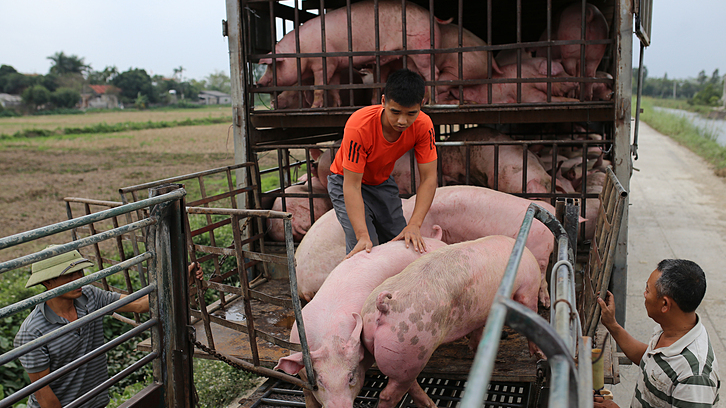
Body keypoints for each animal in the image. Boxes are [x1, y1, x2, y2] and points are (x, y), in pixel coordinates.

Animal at [258, 0, 440, 108]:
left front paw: (315, 107)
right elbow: (333, 87)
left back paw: (431, 102)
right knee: (419, 74)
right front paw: (337, 106)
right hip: (410, 58)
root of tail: (433, 18)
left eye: (272, 66)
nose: (258, 83)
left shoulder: (322, 64)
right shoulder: (335, 65)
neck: (301, 51)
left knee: (433, 73)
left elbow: (319, 86)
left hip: (421, 49)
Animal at [360, 234, 540, 408]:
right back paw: (430, 405)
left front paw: (474, 347)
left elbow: (478, 332)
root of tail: (384, 306)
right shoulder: (529, 286)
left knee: (407, 384)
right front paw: (538, 354)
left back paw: (430, 404)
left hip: (399, 358)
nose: (504, 335)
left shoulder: (482, 313)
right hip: (410, 348)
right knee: (389, 394)